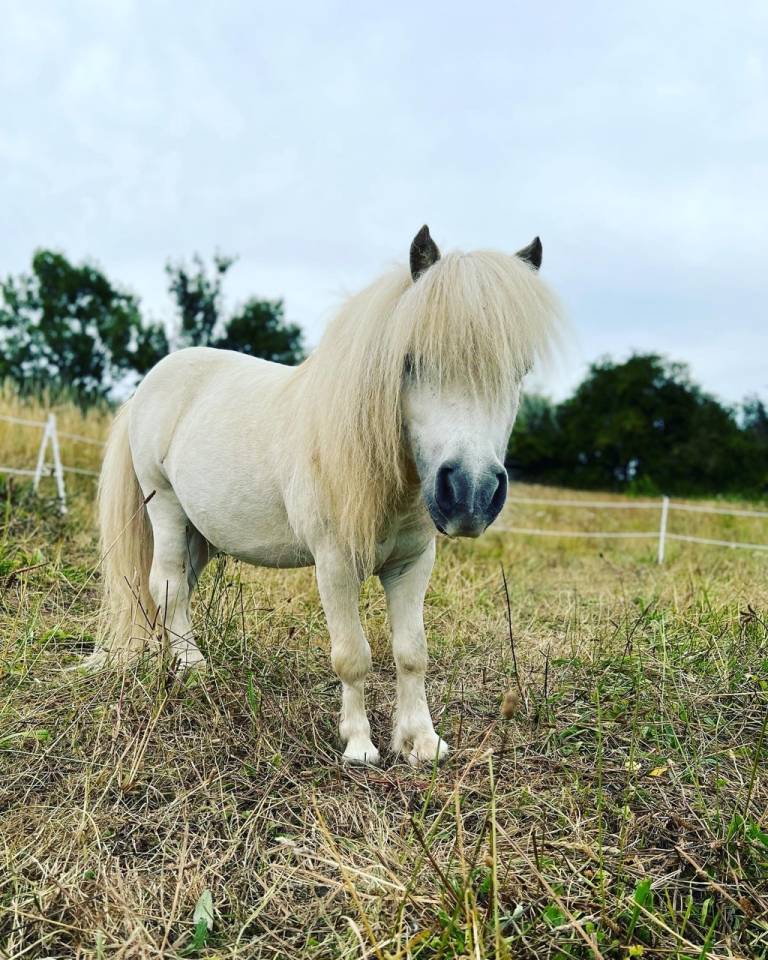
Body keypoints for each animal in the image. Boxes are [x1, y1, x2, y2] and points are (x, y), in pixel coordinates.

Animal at [93, 226, 561, 766]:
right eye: (411, 360)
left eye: (519, 370)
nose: (470, 493)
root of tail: (150, 383)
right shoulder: (335, 564)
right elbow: (352, 656)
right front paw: (359, 746)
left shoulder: (412, 564)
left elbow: (412, 653)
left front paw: (422, 742)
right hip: (166, 506)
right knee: (166, 585)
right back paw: (193, 669)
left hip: (201, 530)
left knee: (175, 590)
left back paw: (164, 657)